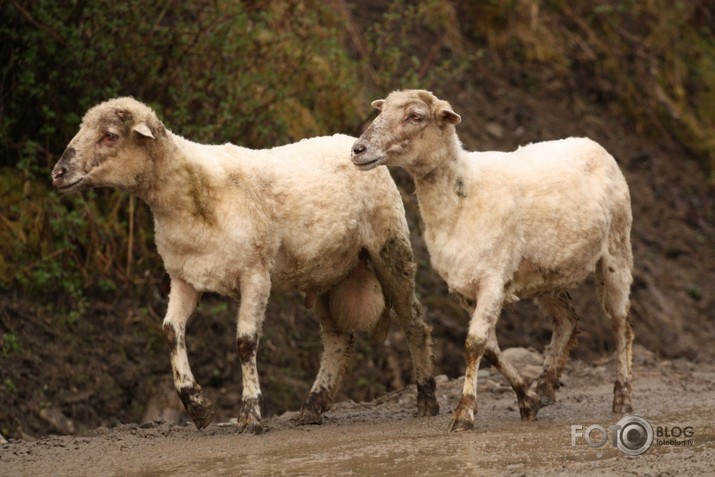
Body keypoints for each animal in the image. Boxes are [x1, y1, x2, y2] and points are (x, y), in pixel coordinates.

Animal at [51, 96, 442, 432]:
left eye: (109, 135)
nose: (58, 173)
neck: (189, 192)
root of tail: (352, 142)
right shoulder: (184, 277)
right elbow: (171, 332)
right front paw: (197, 407)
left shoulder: (254, 273)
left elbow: (244, 342)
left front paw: (250, 414)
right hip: (324, 271)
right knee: (338, 339)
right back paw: (312, 406)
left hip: (388, 244)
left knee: (414, 321)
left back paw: (426, 400)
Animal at [350, 89, 636, 432]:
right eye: (381, 111)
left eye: (415, 116)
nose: (357, 149)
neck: (463, 194)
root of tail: (593, 144)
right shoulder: (462, 287)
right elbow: (490, 348)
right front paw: (528, 399)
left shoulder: (492, 279)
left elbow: (474, 343)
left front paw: (464, 413)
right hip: (547, 272)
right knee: (568, 321)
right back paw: (546, 386)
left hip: (617, 249)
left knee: (621, 325)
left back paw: (622, 397)